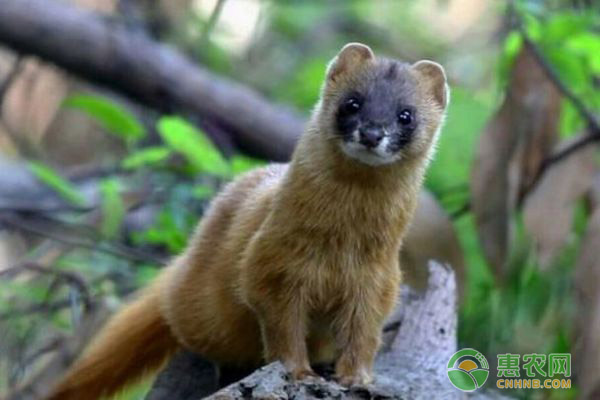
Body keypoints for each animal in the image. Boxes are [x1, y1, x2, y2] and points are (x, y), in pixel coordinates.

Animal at [47, 42, 448, 398]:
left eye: (406, 114)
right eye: (352, 102)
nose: (372, 132)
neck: (340, 244)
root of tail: (183, 265)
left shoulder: (377, 282)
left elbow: (364, 333)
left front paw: (356, 378)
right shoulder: (272, 265)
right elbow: (282, 326)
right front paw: (299, 372)